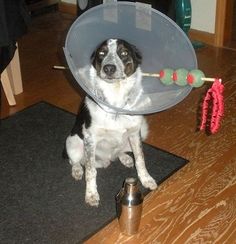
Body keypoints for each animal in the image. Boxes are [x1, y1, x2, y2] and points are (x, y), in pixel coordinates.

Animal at [65, 39, 157, 207]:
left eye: (124, 53)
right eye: (102, 53)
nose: (108, 68)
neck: (115, 98)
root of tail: (107, 159)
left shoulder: (135, 134)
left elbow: (140, 159)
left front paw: (146, 179)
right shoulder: (90, 139)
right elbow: (90, 171)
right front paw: (91, 194)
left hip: (137, 137)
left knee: (119, 152)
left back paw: (125, 158)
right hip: (73, 142)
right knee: (75, 161)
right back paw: (77, 170)